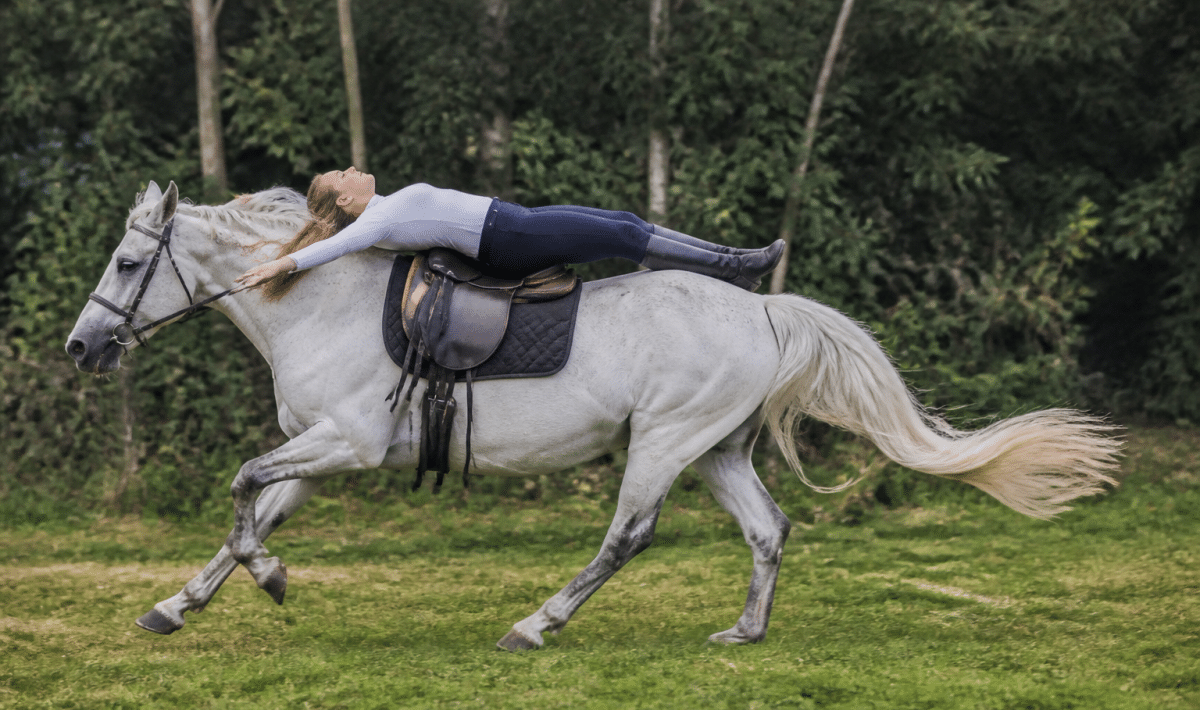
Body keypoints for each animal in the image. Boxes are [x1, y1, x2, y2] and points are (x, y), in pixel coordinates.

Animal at [66, 181, 1121, 650]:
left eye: (127, 262)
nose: (81, 347)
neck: (313, 298)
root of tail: (764, 315)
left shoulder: (345, 444)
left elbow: (243, 491)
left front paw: (273, 581)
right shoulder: (322, 451)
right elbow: (247, 515)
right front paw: (177, 605)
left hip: (664, 443)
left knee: (628, 535)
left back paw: (537, 625)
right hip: (716, 449)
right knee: (768, 530)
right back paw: (744, 633)